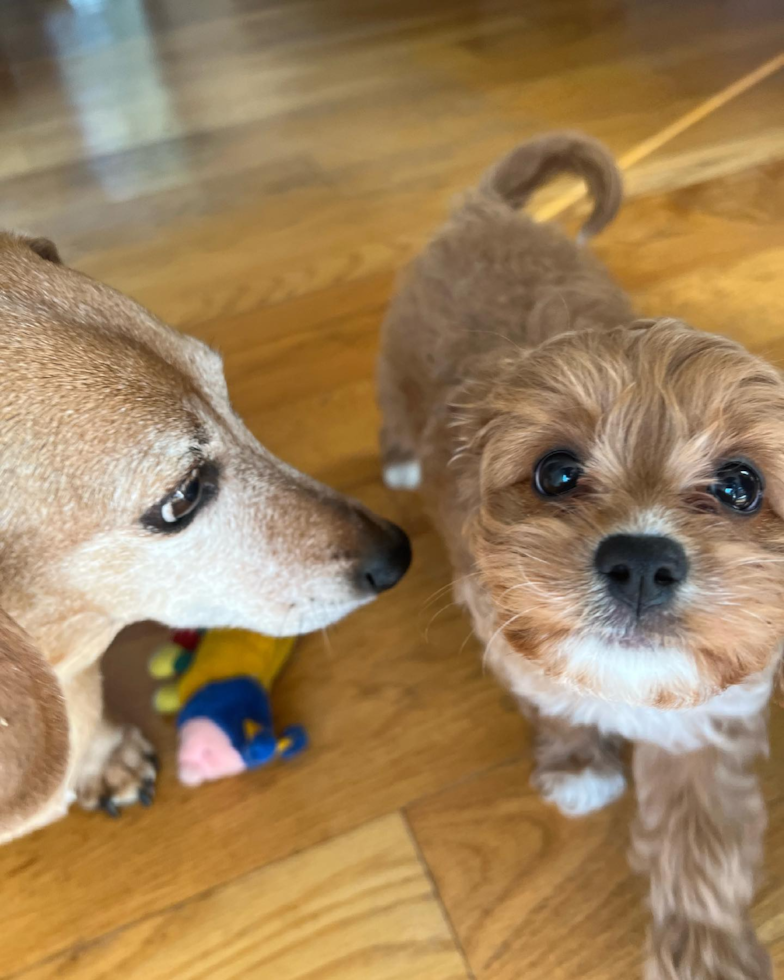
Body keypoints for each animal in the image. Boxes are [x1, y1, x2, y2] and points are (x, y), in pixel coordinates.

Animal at [378, 132, 776, 980]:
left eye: (740, 486)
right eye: (555, 474)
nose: (641, 562)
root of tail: (485, 210)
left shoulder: (711, 724)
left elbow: (701, 847)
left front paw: (706, 952)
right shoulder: (507, 632)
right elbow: (553, 699)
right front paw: (575, 764)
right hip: (395, 359)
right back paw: (397, 459)